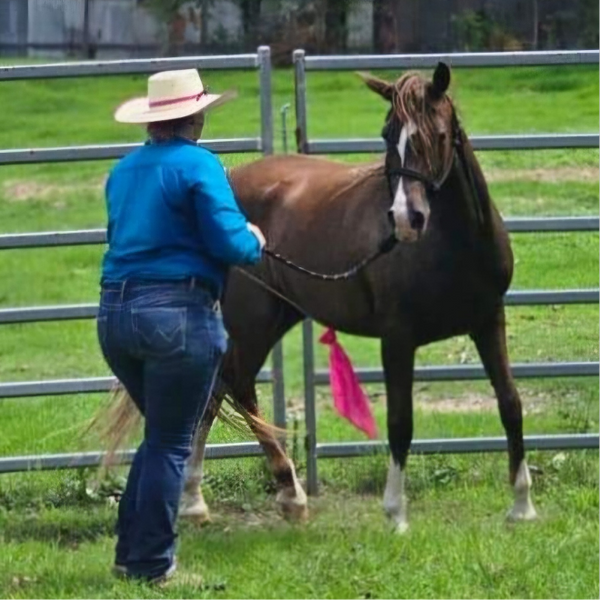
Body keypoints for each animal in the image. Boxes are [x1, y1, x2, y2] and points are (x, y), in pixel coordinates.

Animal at [110, 63, 536, 532]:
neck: (453, 246)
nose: (406, 219)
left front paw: (522, 506)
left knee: (215, 390)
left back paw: (198, 500)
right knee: (237, 388)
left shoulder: (489, 322)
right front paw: (396, 513)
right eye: (388, 134)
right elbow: (400, 421)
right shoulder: (398, 338)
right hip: (253, 321)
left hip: (277, 315)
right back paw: (286, 493)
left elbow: (510, 404)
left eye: (438, 135)